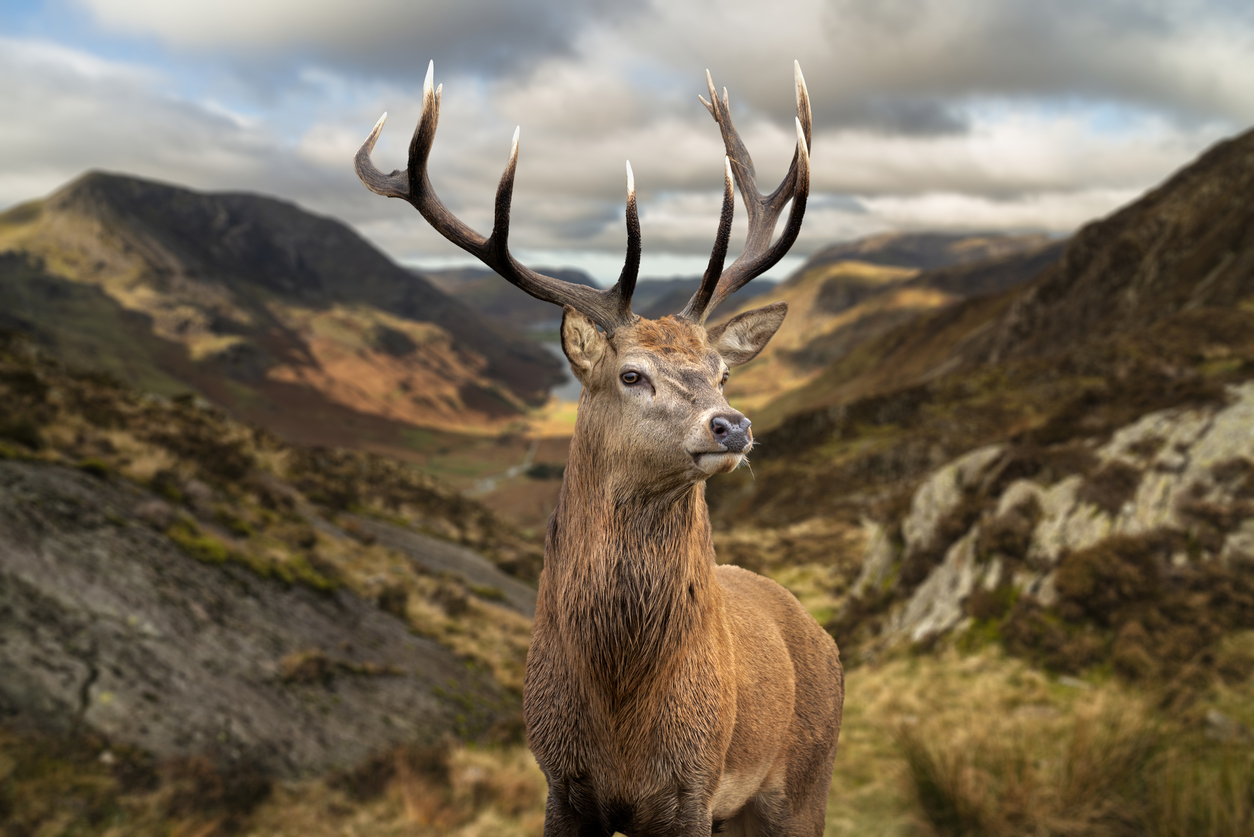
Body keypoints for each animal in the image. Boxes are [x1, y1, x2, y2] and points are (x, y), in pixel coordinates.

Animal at [356, 60, 842, 837]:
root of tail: (821, 635)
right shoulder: (560, 781)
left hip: (803, 783)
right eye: (631, 374)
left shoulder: (692, 789)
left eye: (722, 372)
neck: (618, 707)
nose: (731, 426)